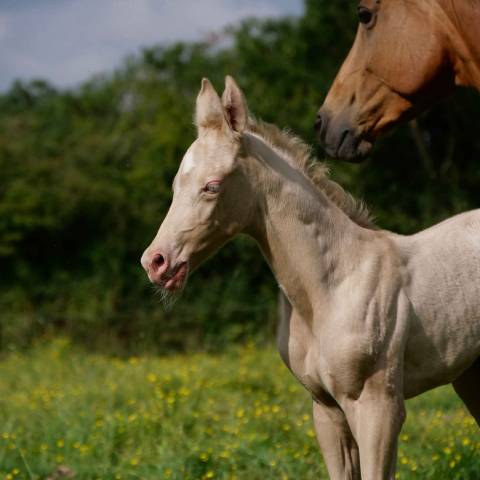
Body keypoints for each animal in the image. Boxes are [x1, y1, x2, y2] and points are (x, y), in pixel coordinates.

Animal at [141, 78, 478, 480]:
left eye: (213, 185)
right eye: (176, 184)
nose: (156, 261)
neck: (332, 287)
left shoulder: (379, 408)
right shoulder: (326, 409)